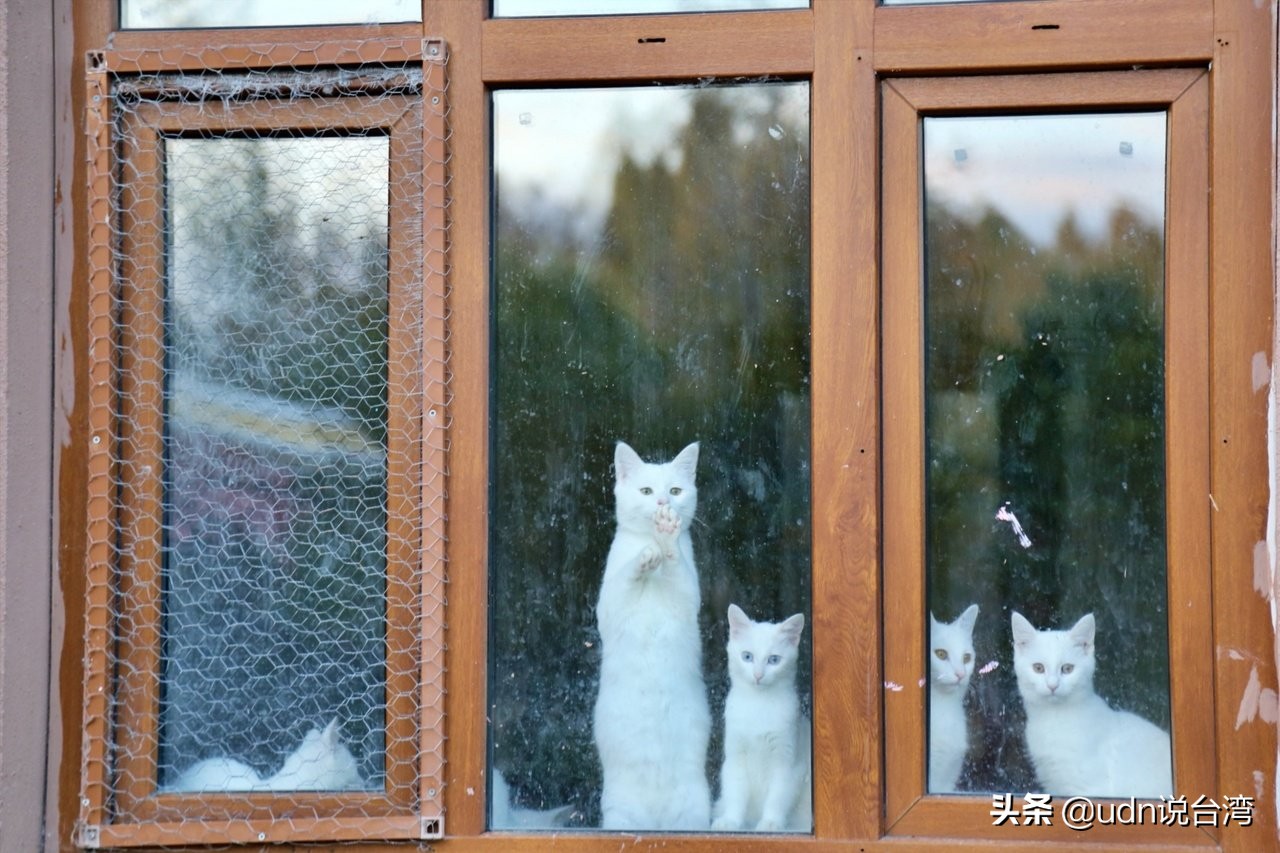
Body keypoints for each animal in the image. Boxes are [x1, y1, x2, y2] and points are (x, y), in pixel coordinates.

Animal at [588, 440, 711, 824]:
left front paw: (666, 539)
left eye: (674, 491)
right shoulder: (608, 608)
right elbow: (627, 575)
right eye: (645, 491)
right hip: (618, 815)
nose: (661, 503)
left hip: (696, 813)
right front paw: (644, 557)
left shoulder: (687, 598)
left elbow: (676, 567)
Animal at [711, 604, 808, 829]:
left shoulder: (786, 761)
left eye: (774, 660)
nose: (758, 675)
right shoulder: (735, 756)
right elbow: (735, 792)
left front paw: (771, 823)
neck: (758, 704)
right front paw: (731, 820)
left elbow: (778, 796)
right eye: (747, 656)